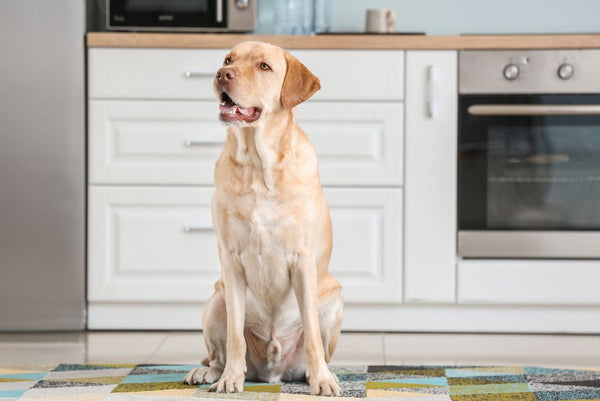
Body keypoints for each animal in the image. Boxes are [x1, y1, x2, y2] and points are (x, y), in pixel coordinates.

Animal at [183, 40, 342, 394]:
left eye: (264, 67)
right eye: (228, 59)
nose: (222, 74)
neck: (258, 164)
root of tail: (273, 373)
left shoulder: (302, 260)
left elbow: (312, 336)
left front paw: (323, 381)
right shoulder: (231, 262)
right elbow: (234, 337)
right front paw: (230, 379)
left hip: (333, 303)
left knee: (315, 345)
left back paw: (321, 374)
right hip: (215, 301)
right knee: (218, 354)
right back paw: (211, 373)